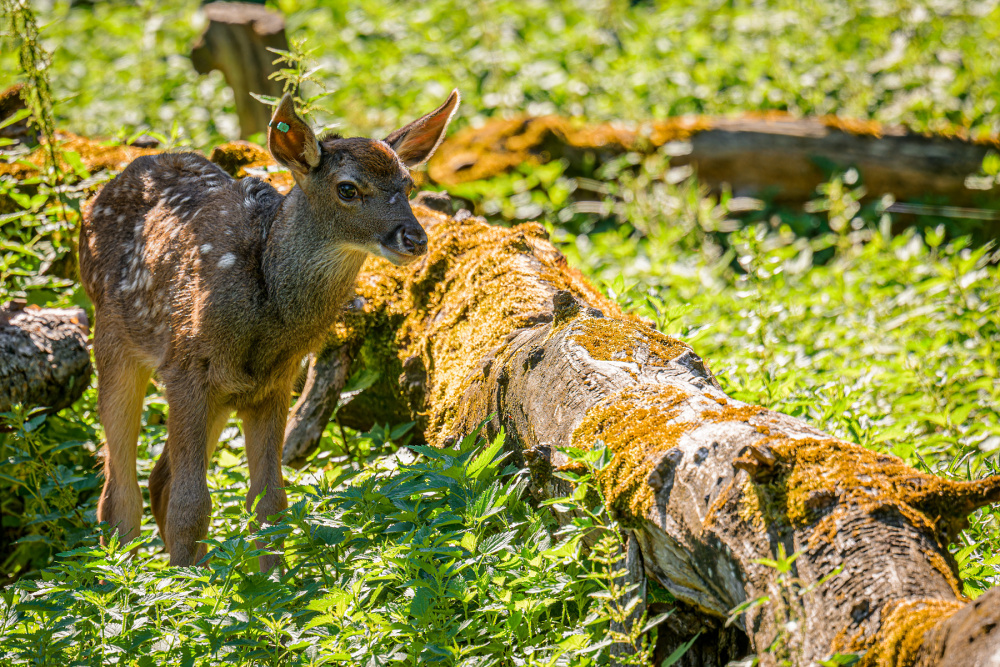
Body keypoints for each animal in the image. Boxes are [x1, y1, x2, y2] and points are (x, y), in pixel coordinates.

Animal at [78, 88, 460, 572]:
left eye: (408, 185)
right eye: (348, 188)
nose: (414, 238)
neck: (266, 313)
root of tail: (97, 196)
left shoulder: (275, 382)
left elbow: (270, 502)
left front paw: (270, 583)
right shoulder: (186, 367)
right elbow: (192, 504)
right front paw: (183, 591)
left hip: (217, 394)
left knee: (159, 477)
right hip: (113, 339)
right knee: (118, 491)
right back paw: (125, 575)